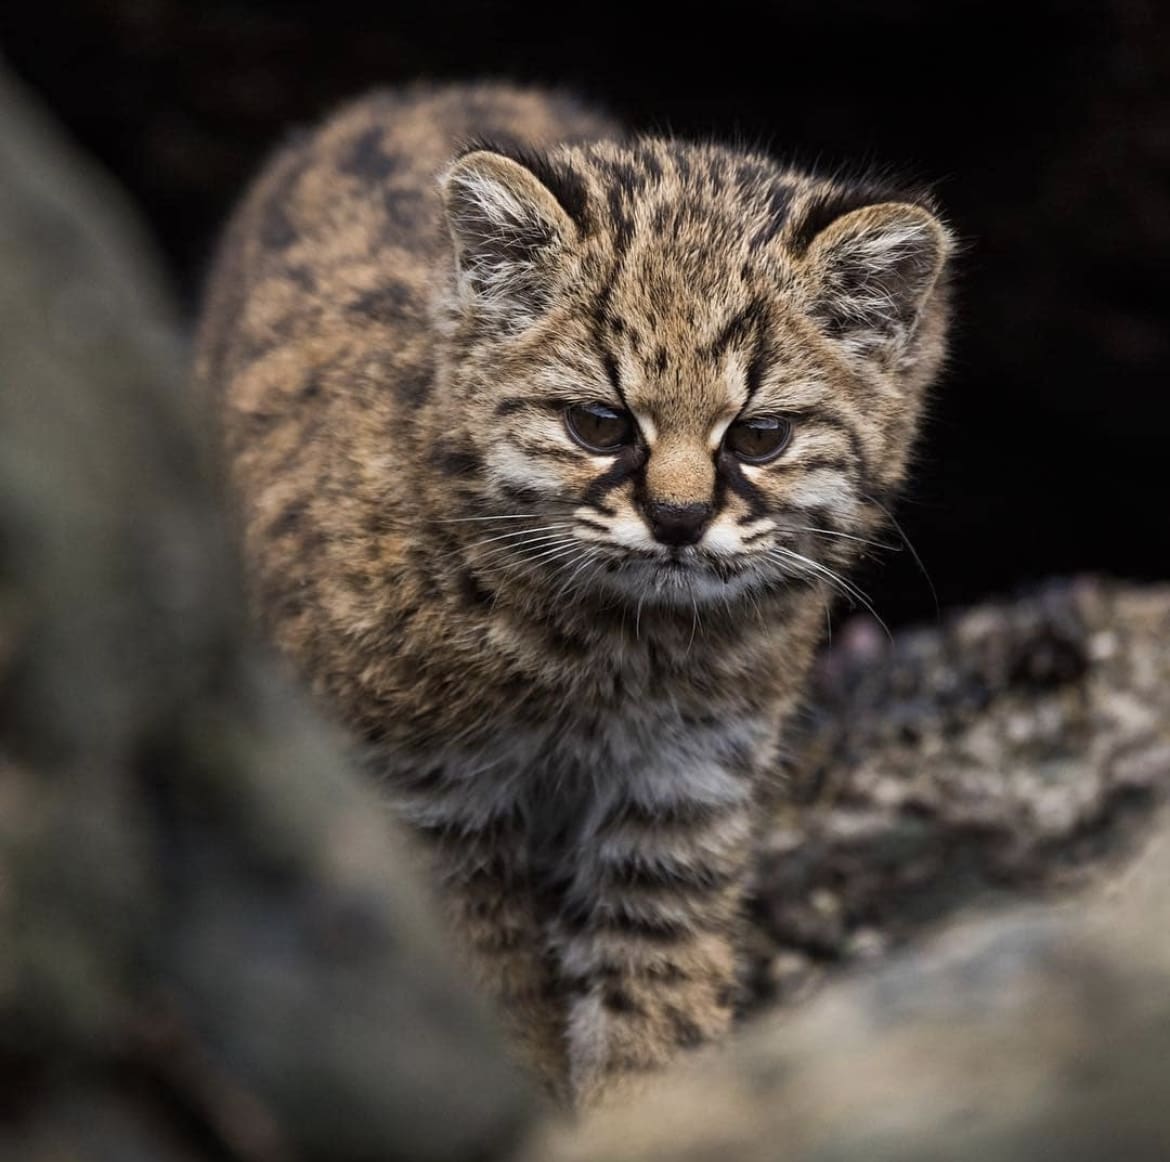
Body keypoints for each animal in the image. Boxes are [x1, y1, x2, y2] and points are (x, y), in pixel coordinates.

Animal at [196, 83, 954, 1104]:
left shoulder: (680, 798)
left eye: (760, 438)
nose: (678, 519)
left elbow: (653, 1002)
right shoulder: (428, 801)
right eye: (599, 424)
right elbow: (488, 1002)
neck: (616, 649)